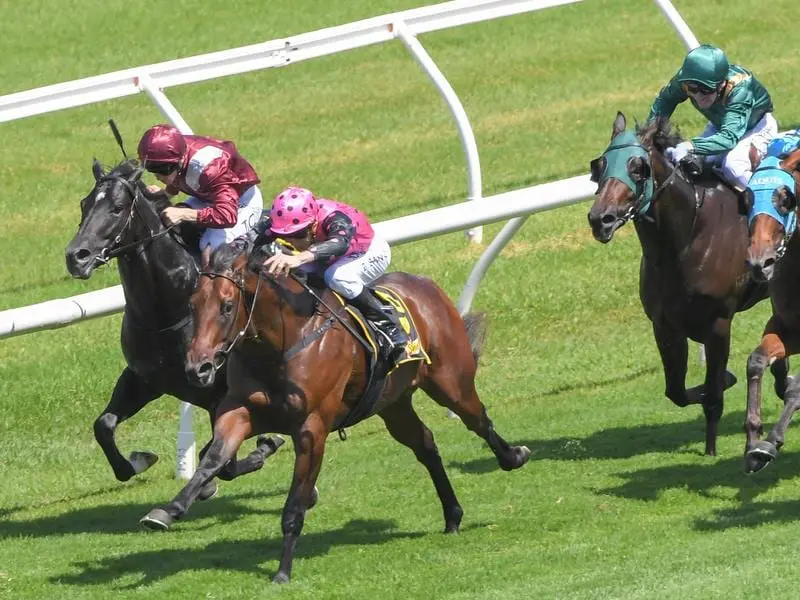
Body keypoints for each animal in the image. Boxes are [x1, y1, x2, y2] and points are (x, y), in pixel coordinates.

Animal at [588, 111, 768, 454]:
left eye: (637, 167)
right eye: (600, 165)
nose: (600, 219)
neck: (688, 236)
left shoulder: (718, 322)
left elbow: (713, 395)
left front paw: (711, 448)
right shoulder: (665, 323)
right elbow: (676, 391)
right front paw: (726, 379)